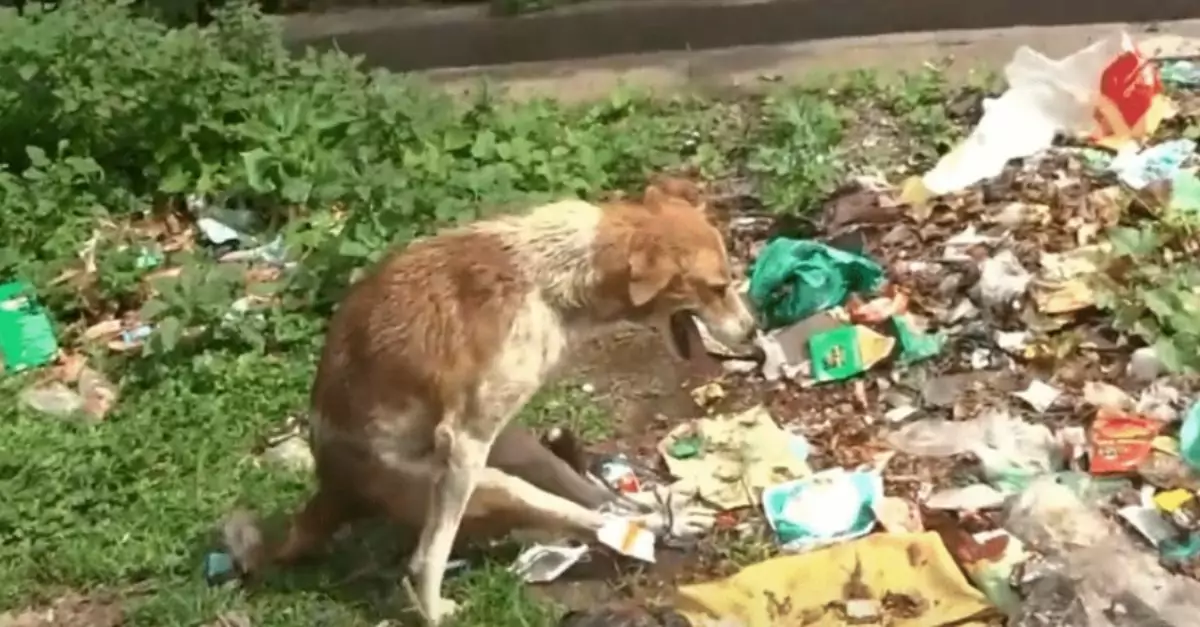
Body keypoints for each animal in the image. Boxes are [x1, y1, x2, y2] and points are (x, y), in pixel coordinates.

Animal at [268, 175, 753, 619]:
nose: (754, 333)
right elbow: (430, 556)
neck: (554, 274)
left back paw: (658, 512)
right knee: (582, 517)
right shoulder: (462, 442)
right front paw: (430, 609)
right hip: (492, 483)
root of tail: (332, 487)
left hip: (514, 447)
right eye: (717, 288)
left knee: (596, 499)